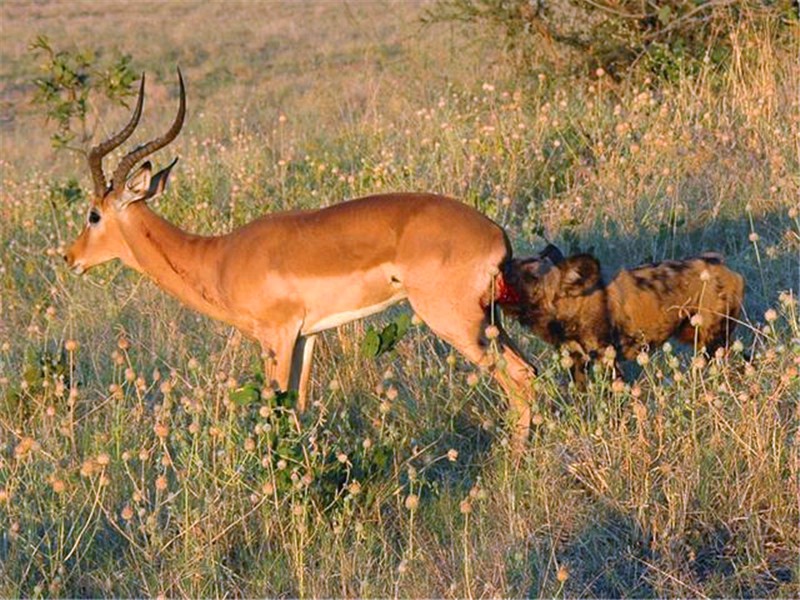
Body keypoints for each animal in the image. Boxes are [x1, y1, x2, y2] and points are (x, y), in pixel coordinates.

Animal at [510, 246, 748, 386]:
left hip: (713, 344)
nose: (505, 265)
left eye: (530, 277)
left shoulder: (607, 360)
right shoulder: (576, 361)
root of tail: (723, 266)